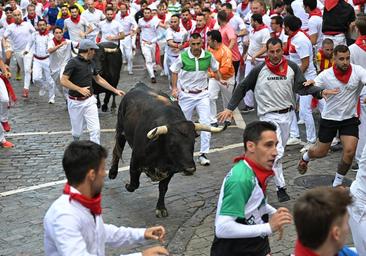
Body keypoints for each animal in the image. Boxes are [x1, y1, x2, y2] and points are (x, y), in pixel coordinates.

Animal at [108, 83, 227, 217]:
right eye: (172, 144)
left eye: (193, 142)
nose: (190, 169)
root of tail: (139, 85)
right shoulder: (135, 161)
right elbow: (134, 184)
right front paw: (127, 185)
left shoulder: (171, 170)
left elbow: (163, 188)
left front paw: (161, 208)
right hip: (120, 130)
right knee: (117, 151)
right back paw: (112, 173)